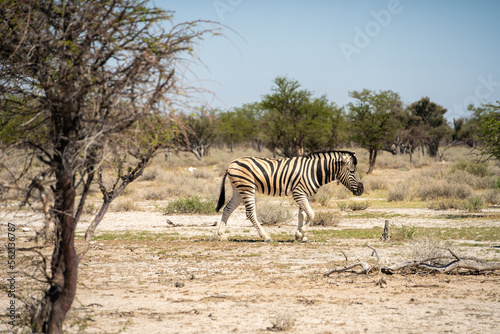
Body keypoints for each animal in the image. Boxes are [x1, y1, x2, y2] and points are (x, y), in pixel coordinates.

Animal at [214, 151, 364, 243]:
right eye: (352, 171)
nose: (362, 190)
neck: (315, 171)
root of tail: (231, 163)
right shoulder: (298, 193)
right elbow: (311, 214)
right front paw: (300, 233)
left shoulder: (303, 194)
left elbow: (302, 215)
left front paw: (300, 236)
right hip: (247, 188)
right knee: (250, 213)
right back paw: (266, 237)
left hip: (238, 190)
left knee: (227, 209)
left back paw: (222, 235)